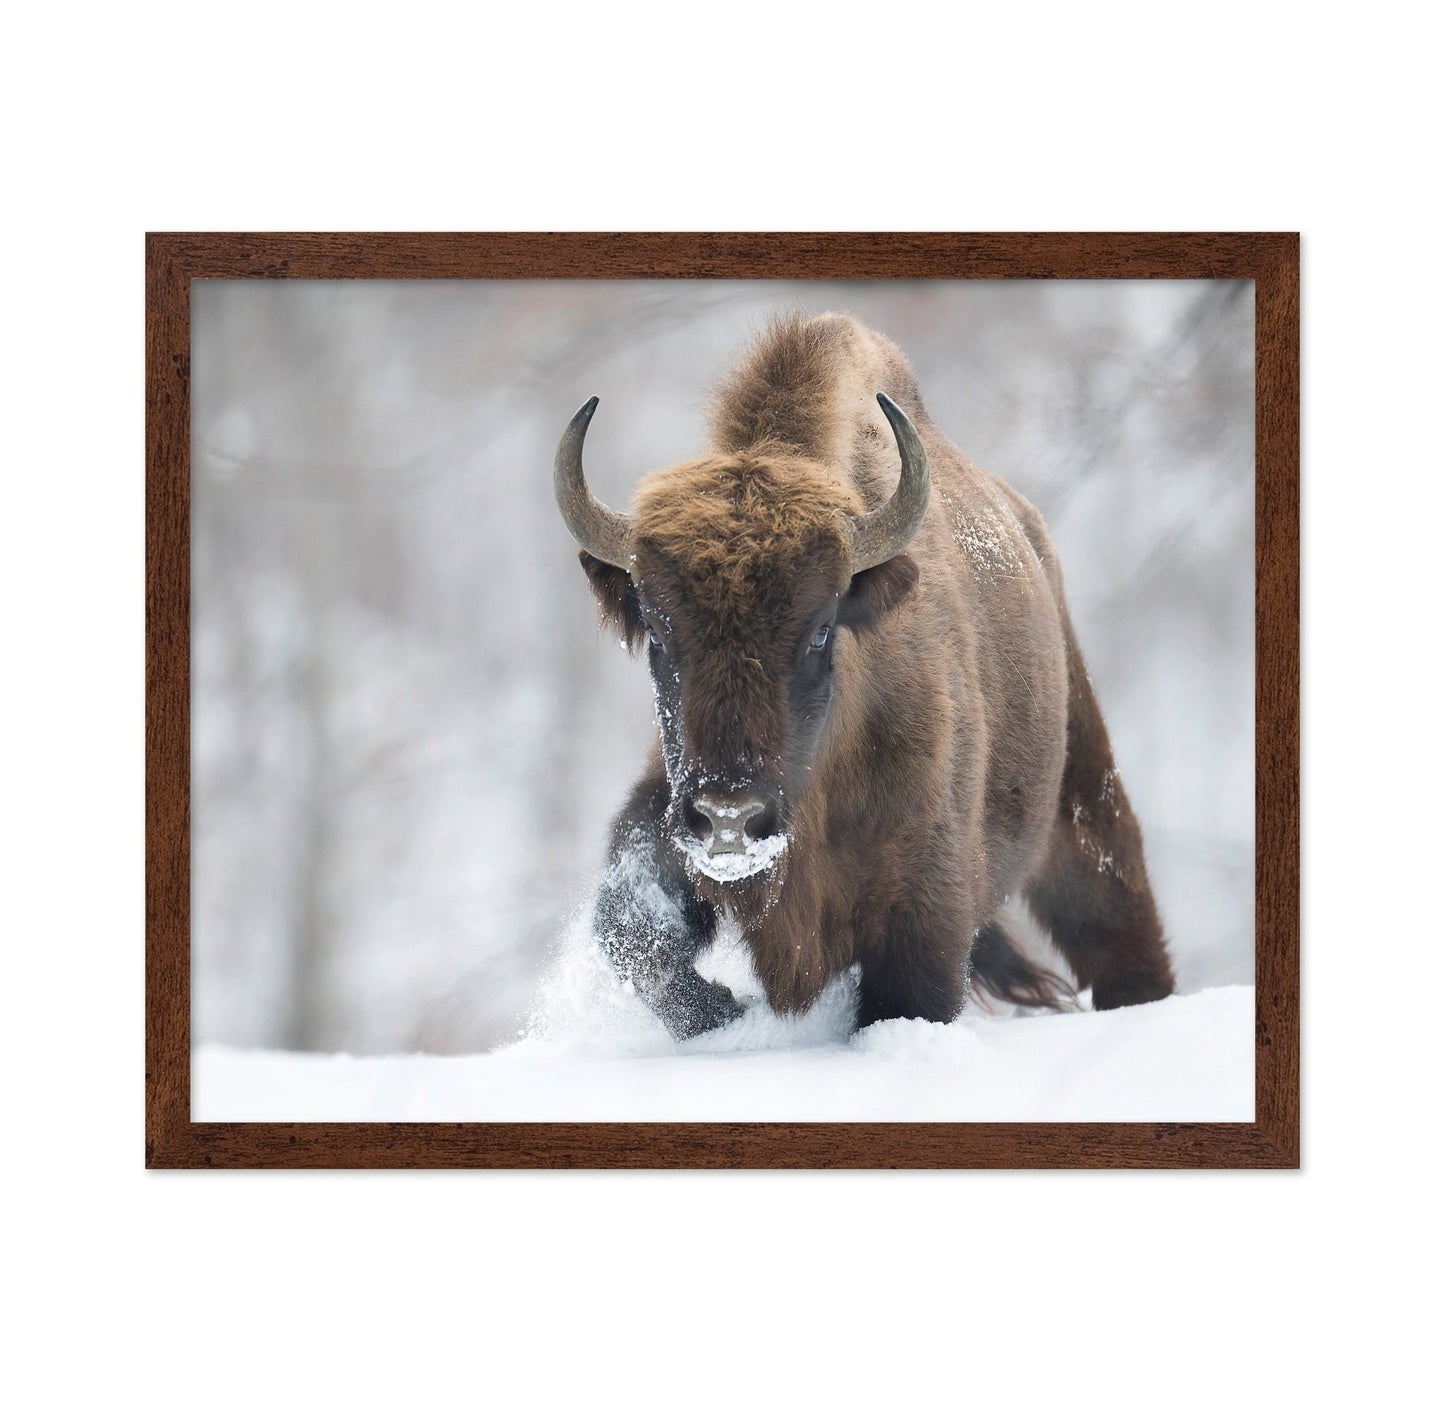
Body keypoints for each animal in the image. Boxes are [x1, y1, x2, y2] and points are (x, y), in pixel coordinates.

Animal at [554, 312, 1174, 1038]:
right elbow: (634, 932)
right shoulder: (665, 813)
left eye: (821, 629)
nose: (728, 818)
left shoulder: (922, 919)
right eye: (657, 631)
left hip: (1082, 804)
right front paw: (725, 1008)